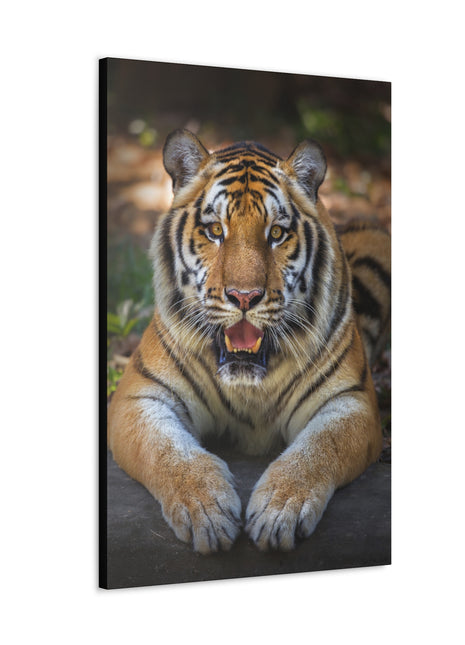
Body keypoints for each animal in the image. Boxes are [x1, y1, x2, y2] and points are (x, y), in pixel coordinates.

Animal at [107, 129, 391, 554]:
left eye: (276, 233)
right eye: (214, 231)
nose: (244, 297)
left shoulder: (351, 401)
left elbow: (318, 450)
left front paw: (279, 511)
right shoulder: (140, 397)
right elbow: (168, 452)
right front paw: (206, 510)